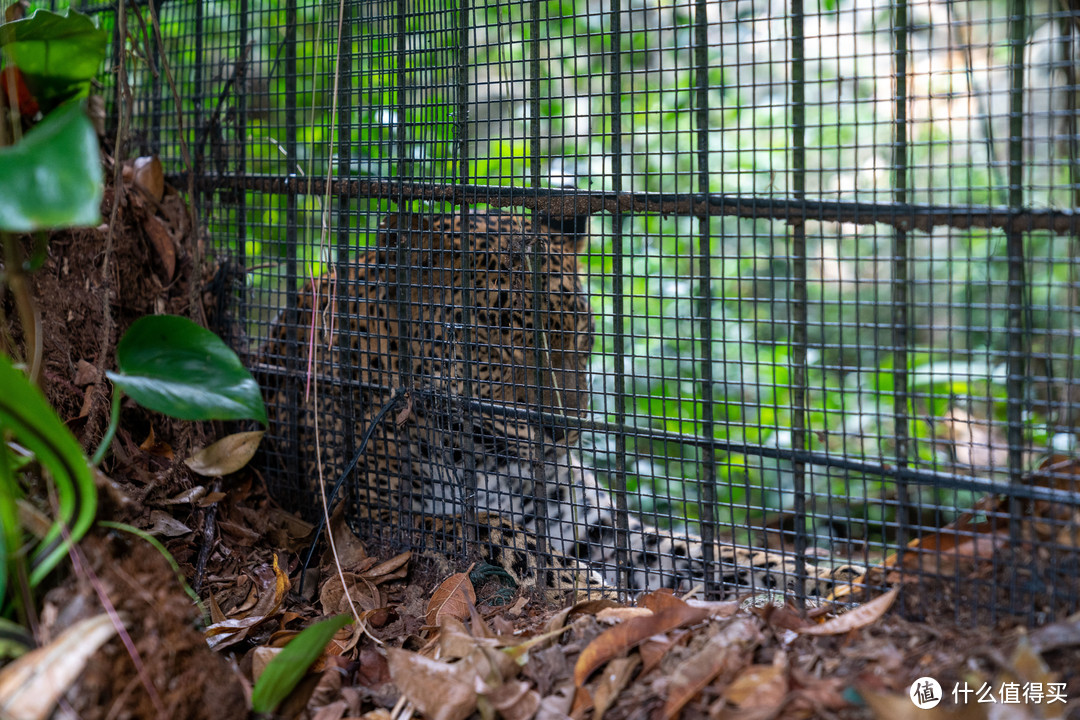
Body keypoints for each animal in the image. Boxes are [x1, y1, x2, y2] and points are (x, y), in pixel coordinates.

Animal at [265, 209, 864, 604]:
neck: (482, 449)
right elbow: (490, 530)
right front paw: (593, 592)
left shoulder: (585, 521)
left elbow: (710, 553)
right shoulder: (373, 519)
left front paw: (850, 578)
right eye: (495, 343)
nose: (562, 429)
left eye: (580, 330)